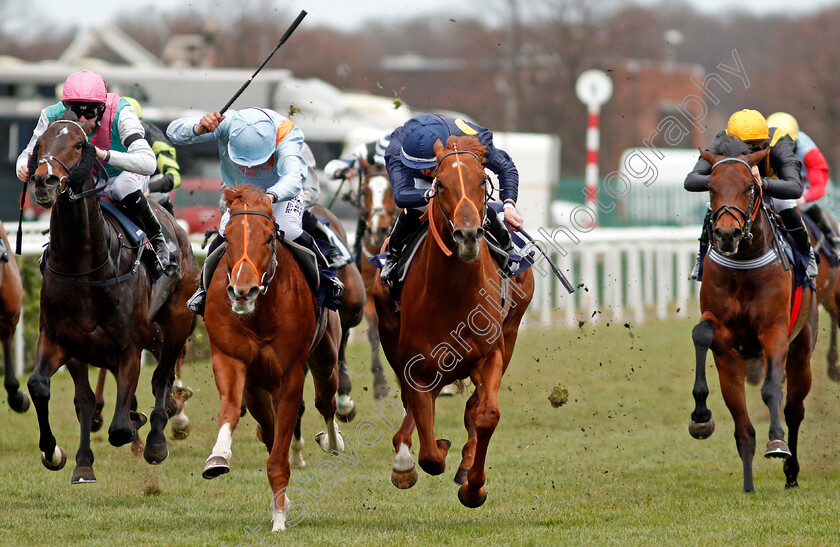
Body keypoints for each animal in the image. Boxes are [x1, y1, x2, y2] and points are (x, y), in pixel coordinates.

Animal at [26, 113, 200, 482]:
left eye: (79, 144)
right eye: (39, 144)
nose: (44, 181)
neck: (84, 265)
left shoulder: (129, 346)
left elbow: (120, 427)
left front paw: (137, 424)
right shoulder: (60, 339)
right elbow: (44, 387)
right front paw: (60, 454)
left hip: (177, 320)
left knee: (162, 376)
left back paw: (158, 438)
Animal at [201, 186, 344, 532]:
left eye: (268, 238)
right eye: (227, 236)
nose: (243, 290)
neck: (259, 316)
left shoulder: (291, 374)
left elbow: (280, 448)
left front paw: (279, 518)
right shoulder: (231, 359)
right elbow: (231, 409)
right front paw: (217, 458)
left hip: (325, 358)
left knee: (325, 403)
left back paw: (332, 443)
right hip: (257, 387)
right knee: (269, 430)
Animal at [372, 136, 532, 510]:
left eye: (483, 182)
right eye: (440, 184)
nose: (468, 235)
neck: (454, 293)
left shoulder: (490, 355)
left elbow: (486, 415)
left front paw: (474, 486)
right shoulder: (416, 365)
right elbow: (430, 453)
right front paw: (417, 458)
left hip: (511, 331)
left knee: (473, 405)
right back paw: (405, 455)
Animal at [684, 137, 816, 492]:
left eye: (749, 187)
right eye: (711, 187)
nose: (726, 234)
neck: (744, 261)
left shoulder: (774, 331)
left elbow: (772, 390)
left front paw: (777, 443)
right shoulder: (727, 340)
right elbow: (701, 334)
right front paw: (700, 417)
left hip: (802, 351)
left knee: (794, 409)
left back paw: (792, 472)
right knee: (743, 427)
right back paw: (749, 484)